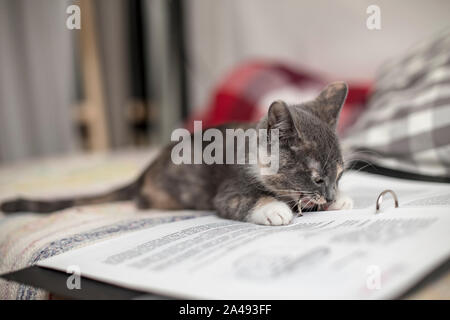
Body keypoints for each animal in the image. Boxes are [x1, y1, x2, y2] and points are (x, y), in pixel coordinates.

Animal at [0, 82, 352, 225]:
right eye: (317, 178)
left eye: (339, 176)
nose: (330, 195)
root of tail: (144, 172)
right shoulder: (228, 189)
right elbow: (239, 201)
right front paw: (274, 209)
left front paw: (339, 201)